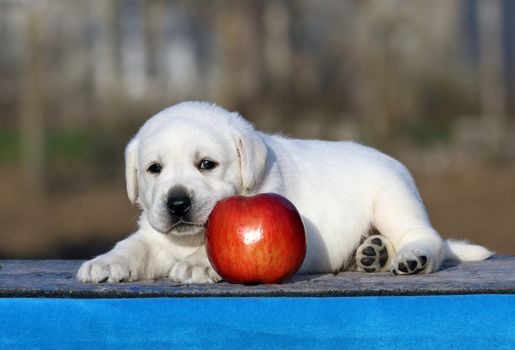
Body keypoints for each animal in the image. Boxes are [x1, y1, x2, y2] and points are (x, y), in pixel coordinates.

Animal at [76, 101, 492, 284]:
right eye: (154, 169)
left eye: (207, 164)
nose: (177, 203)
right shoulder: (154, 235)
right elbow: (135, 247)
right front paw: (105, 262)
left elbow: (209, 252)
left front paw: (197, 264)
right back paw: (372, 253)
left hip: (393, 199)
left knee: (427, 238)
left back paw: (410, 257)